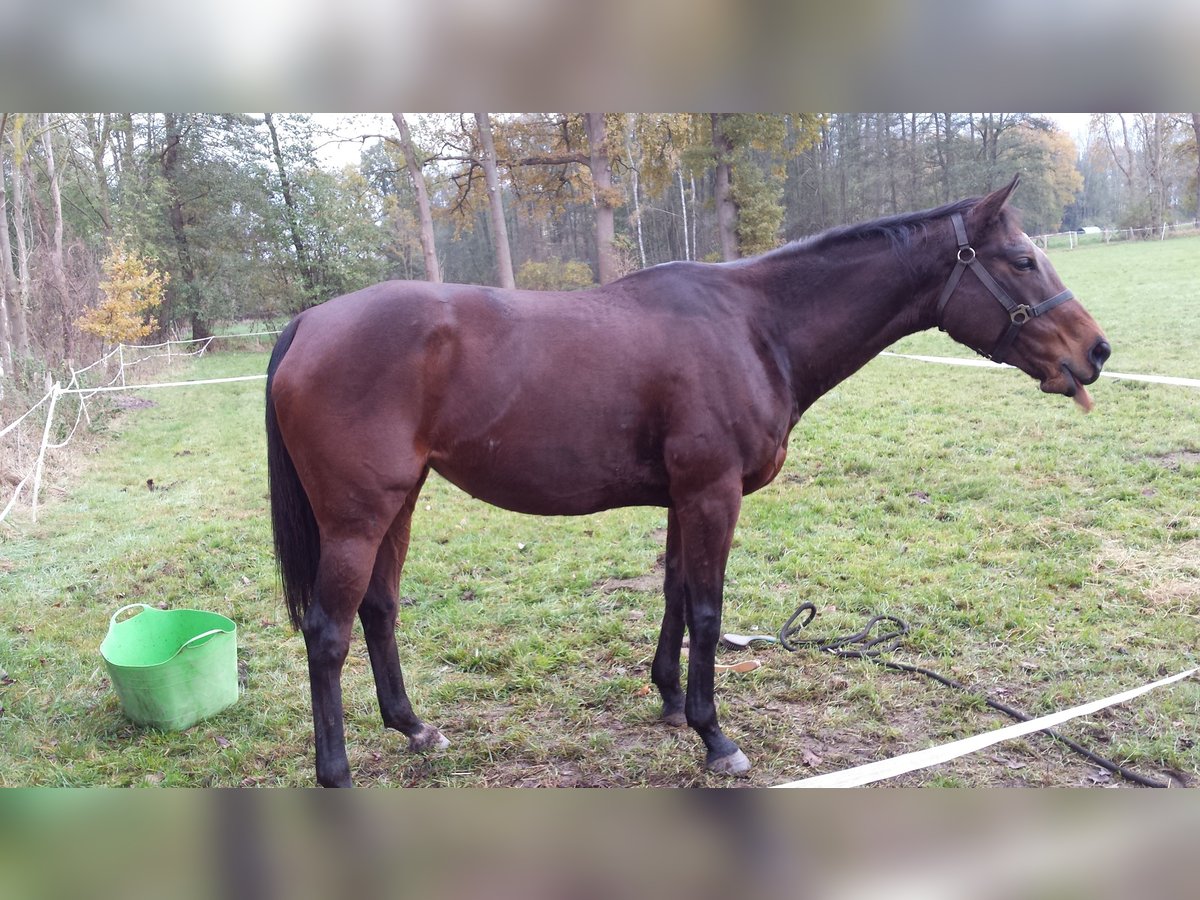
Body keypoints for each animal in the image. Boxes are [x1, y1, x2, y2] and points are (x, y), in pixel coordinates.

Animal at [267, 172, 1108, 787]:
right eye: (1022, 260)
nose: (1096, 351)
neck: (754, 327)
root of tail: (309, 322)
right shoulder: (712, 494)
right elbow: (706, 609)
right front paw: (715, 736)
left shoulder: (683, 498)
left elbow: (673, 593)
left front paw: (671, 702)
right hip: (357, 518)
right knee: (329, 633)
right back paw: (337, 773)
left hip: (399, 504)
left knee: (378, 611)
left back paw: (414, 727)